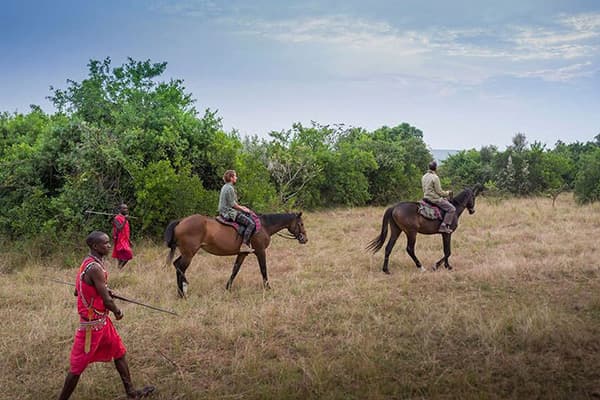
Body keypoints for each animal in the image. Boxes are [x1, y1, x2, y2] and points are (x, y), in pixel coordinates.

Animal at [164, 214, 308, 296]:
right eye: (301, 224)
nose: (305, 239)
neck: (263, 226)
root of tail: (180, 222)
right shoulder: (260, 251)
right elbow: (263, 269)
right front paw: (268, 288)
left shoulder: (242, 253)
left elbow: (235, 270)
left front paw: (228, 288)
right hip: (189, 254)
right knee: (180, 268)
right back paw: (183, 292)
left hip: (186, 253)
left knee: (176, 265)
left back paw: (180, 292)